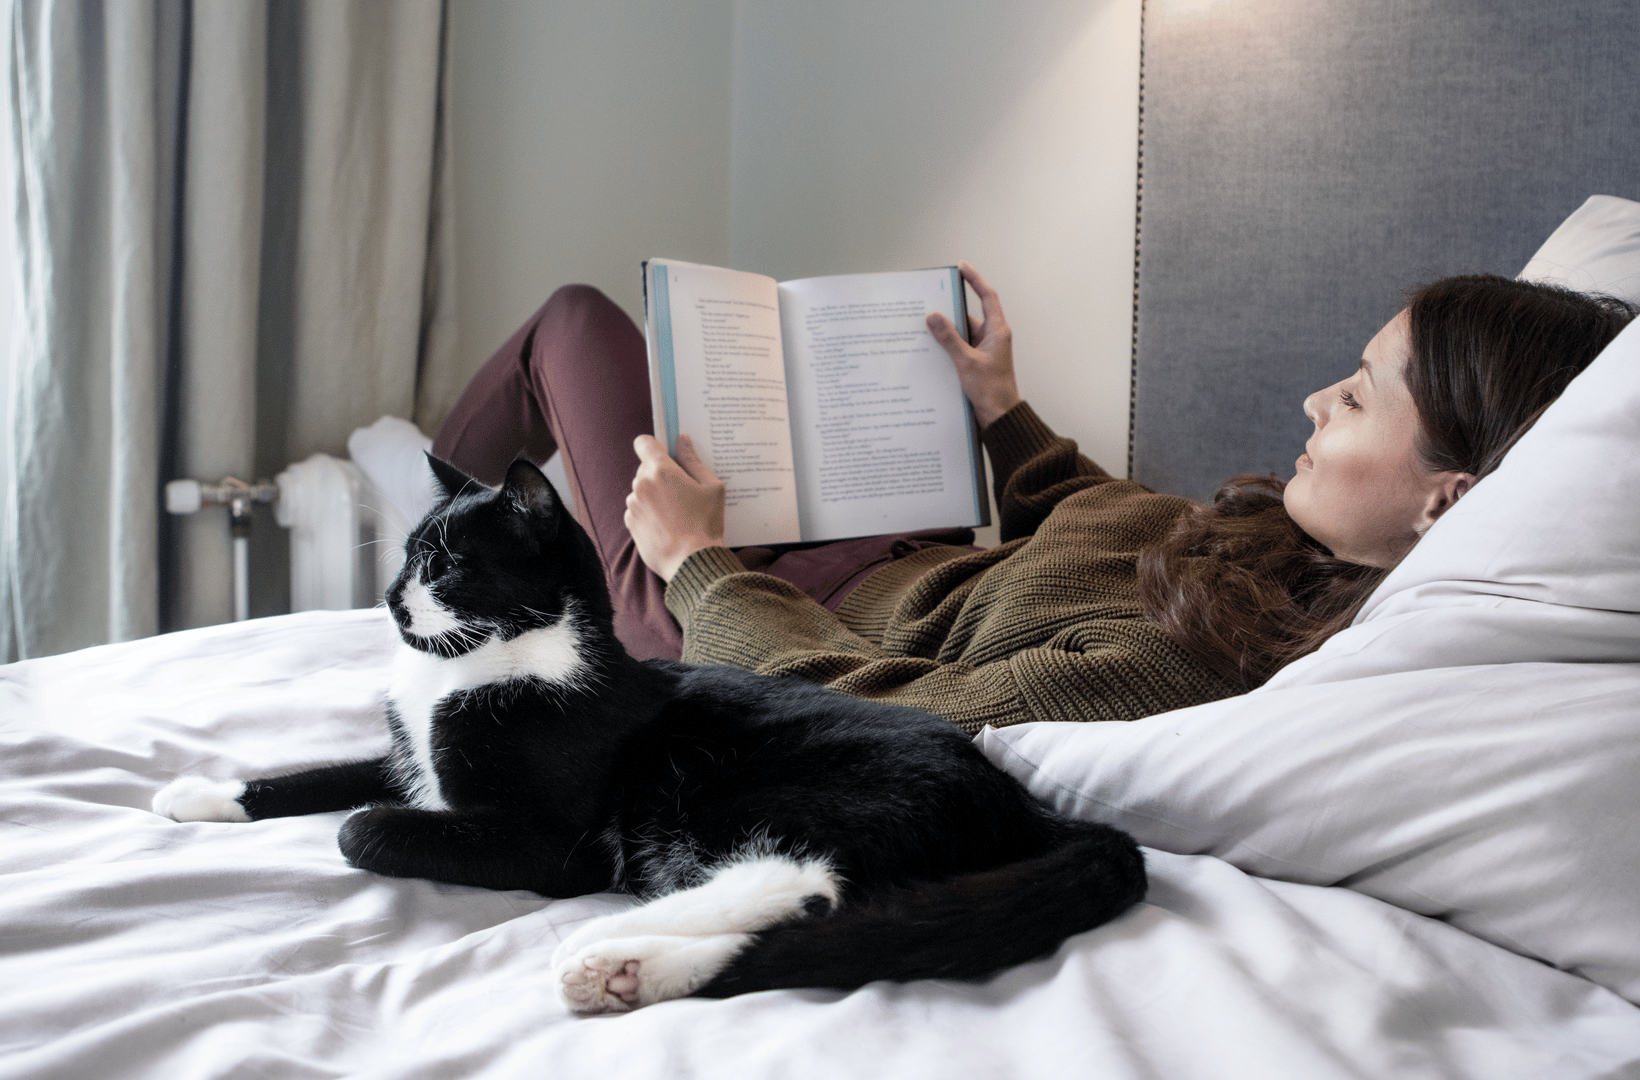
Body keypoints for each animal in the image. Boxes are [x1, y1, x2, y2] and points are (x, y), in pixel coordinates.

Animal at [159, 455, 1148, 1016]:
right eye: (405, 555)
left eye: (445, 564)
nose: (390, 599)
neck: (473, 668)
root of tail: (1028, 807)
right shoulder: (407, 762)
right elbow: (323, 772)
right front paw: (195, 791)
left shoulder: (545, 838)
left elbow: (359, 826)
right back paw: (631, 972)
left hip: (742, 791)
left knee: (799, 880)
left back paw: (609, 950)